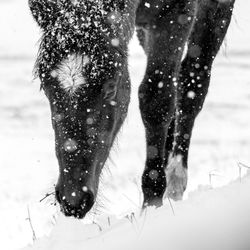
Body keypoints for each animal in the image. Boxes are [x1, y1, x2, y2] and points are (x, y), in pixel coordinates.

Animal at [28, 0, 234, 218]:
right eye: (44, 86)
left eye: (111, 87)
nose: (73, 199)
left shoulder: (175, 15)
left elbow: (156, 100)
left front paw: (152, 203)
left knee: (192, 83)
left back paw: (175, 179)